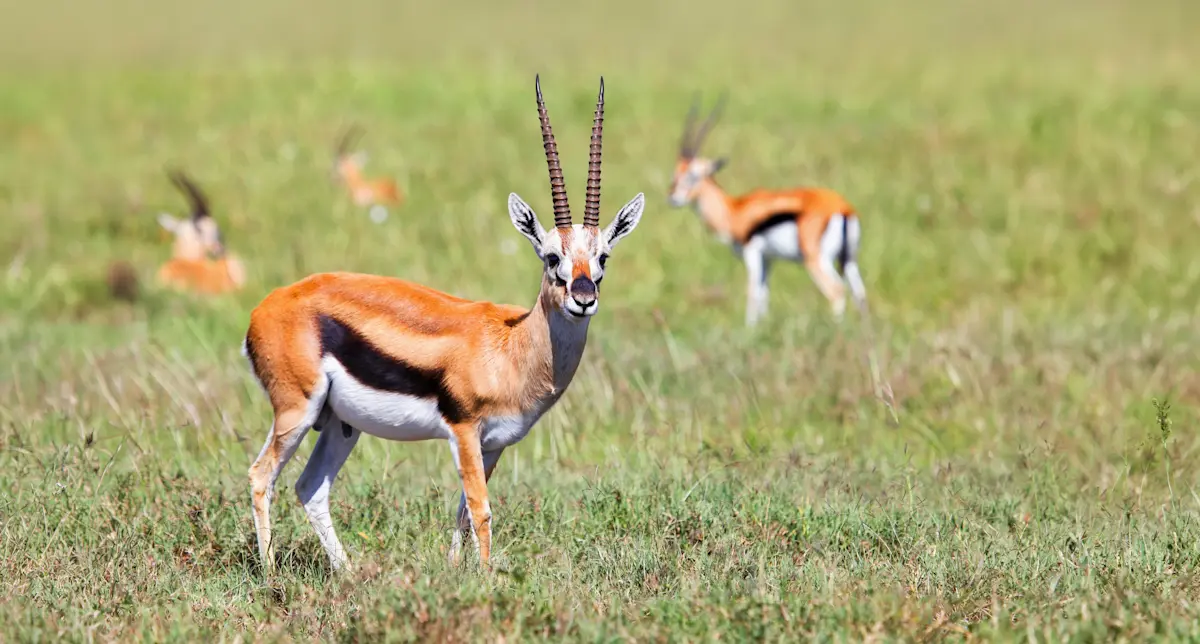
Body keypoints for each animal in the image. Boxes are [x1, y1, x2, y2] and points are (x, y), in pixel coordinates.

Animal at [243, 76, 645, 573]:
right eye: (553, 257)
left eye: (603, 256)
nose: (583, 298)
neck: (513, 345)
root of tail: (267, 306)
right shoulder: (464, 431)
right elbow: (481, 508)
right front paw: (488, 579)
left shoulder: (494, 444)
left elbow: (463, 511)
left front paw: (457, 571)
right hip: (296, 411)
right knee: (261, 476)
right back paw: (271, 574)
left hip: (339, 425)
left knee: (310, 487)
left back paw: (349, 573)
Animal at [667, 95, 868, 327]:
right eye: (675, 174)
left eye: (692, 175)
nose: (672, 198)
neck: (734, 210)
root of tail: (843, 209)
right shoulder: (769, 259)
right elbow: (765, 295)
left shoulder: (751, 253)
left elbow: (753, 294)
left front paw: (749, 329)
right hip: (849, 260)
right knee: (861, 295)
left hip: (816, 260)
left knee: (837, 291)